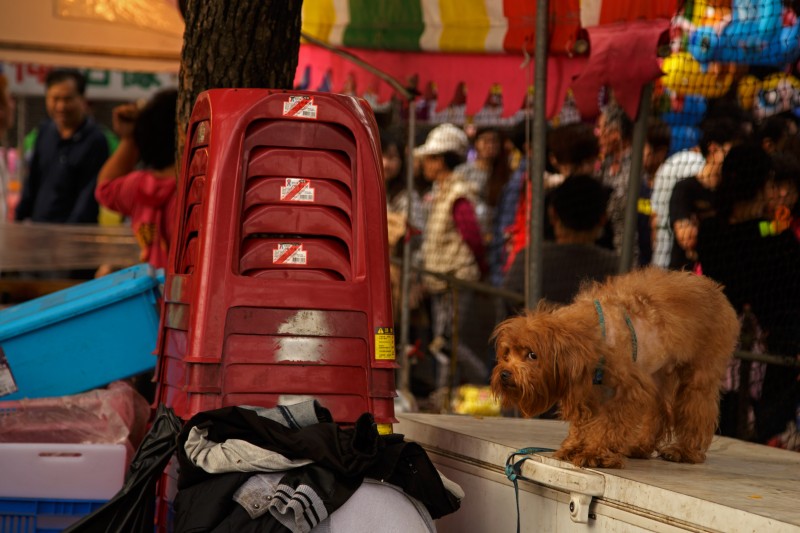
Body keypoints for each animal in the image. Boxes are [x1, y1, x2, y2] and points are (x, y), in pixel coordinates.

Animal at [490, 268, 740, 468]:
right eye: (507, 354)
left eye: (532, 355)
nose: (505, 374)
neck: (594, 336)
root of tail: (716, 289)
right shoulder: (590, 390)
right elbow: (583, 424)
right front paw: (574, 446)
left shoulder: (628, 390)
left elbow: (611, 424)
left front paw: (595, 453)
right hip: (657, 375)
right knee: (659, 412)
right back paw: (641, 446)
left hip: (698, 376)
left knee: (697, 412)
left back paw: (685, 451)